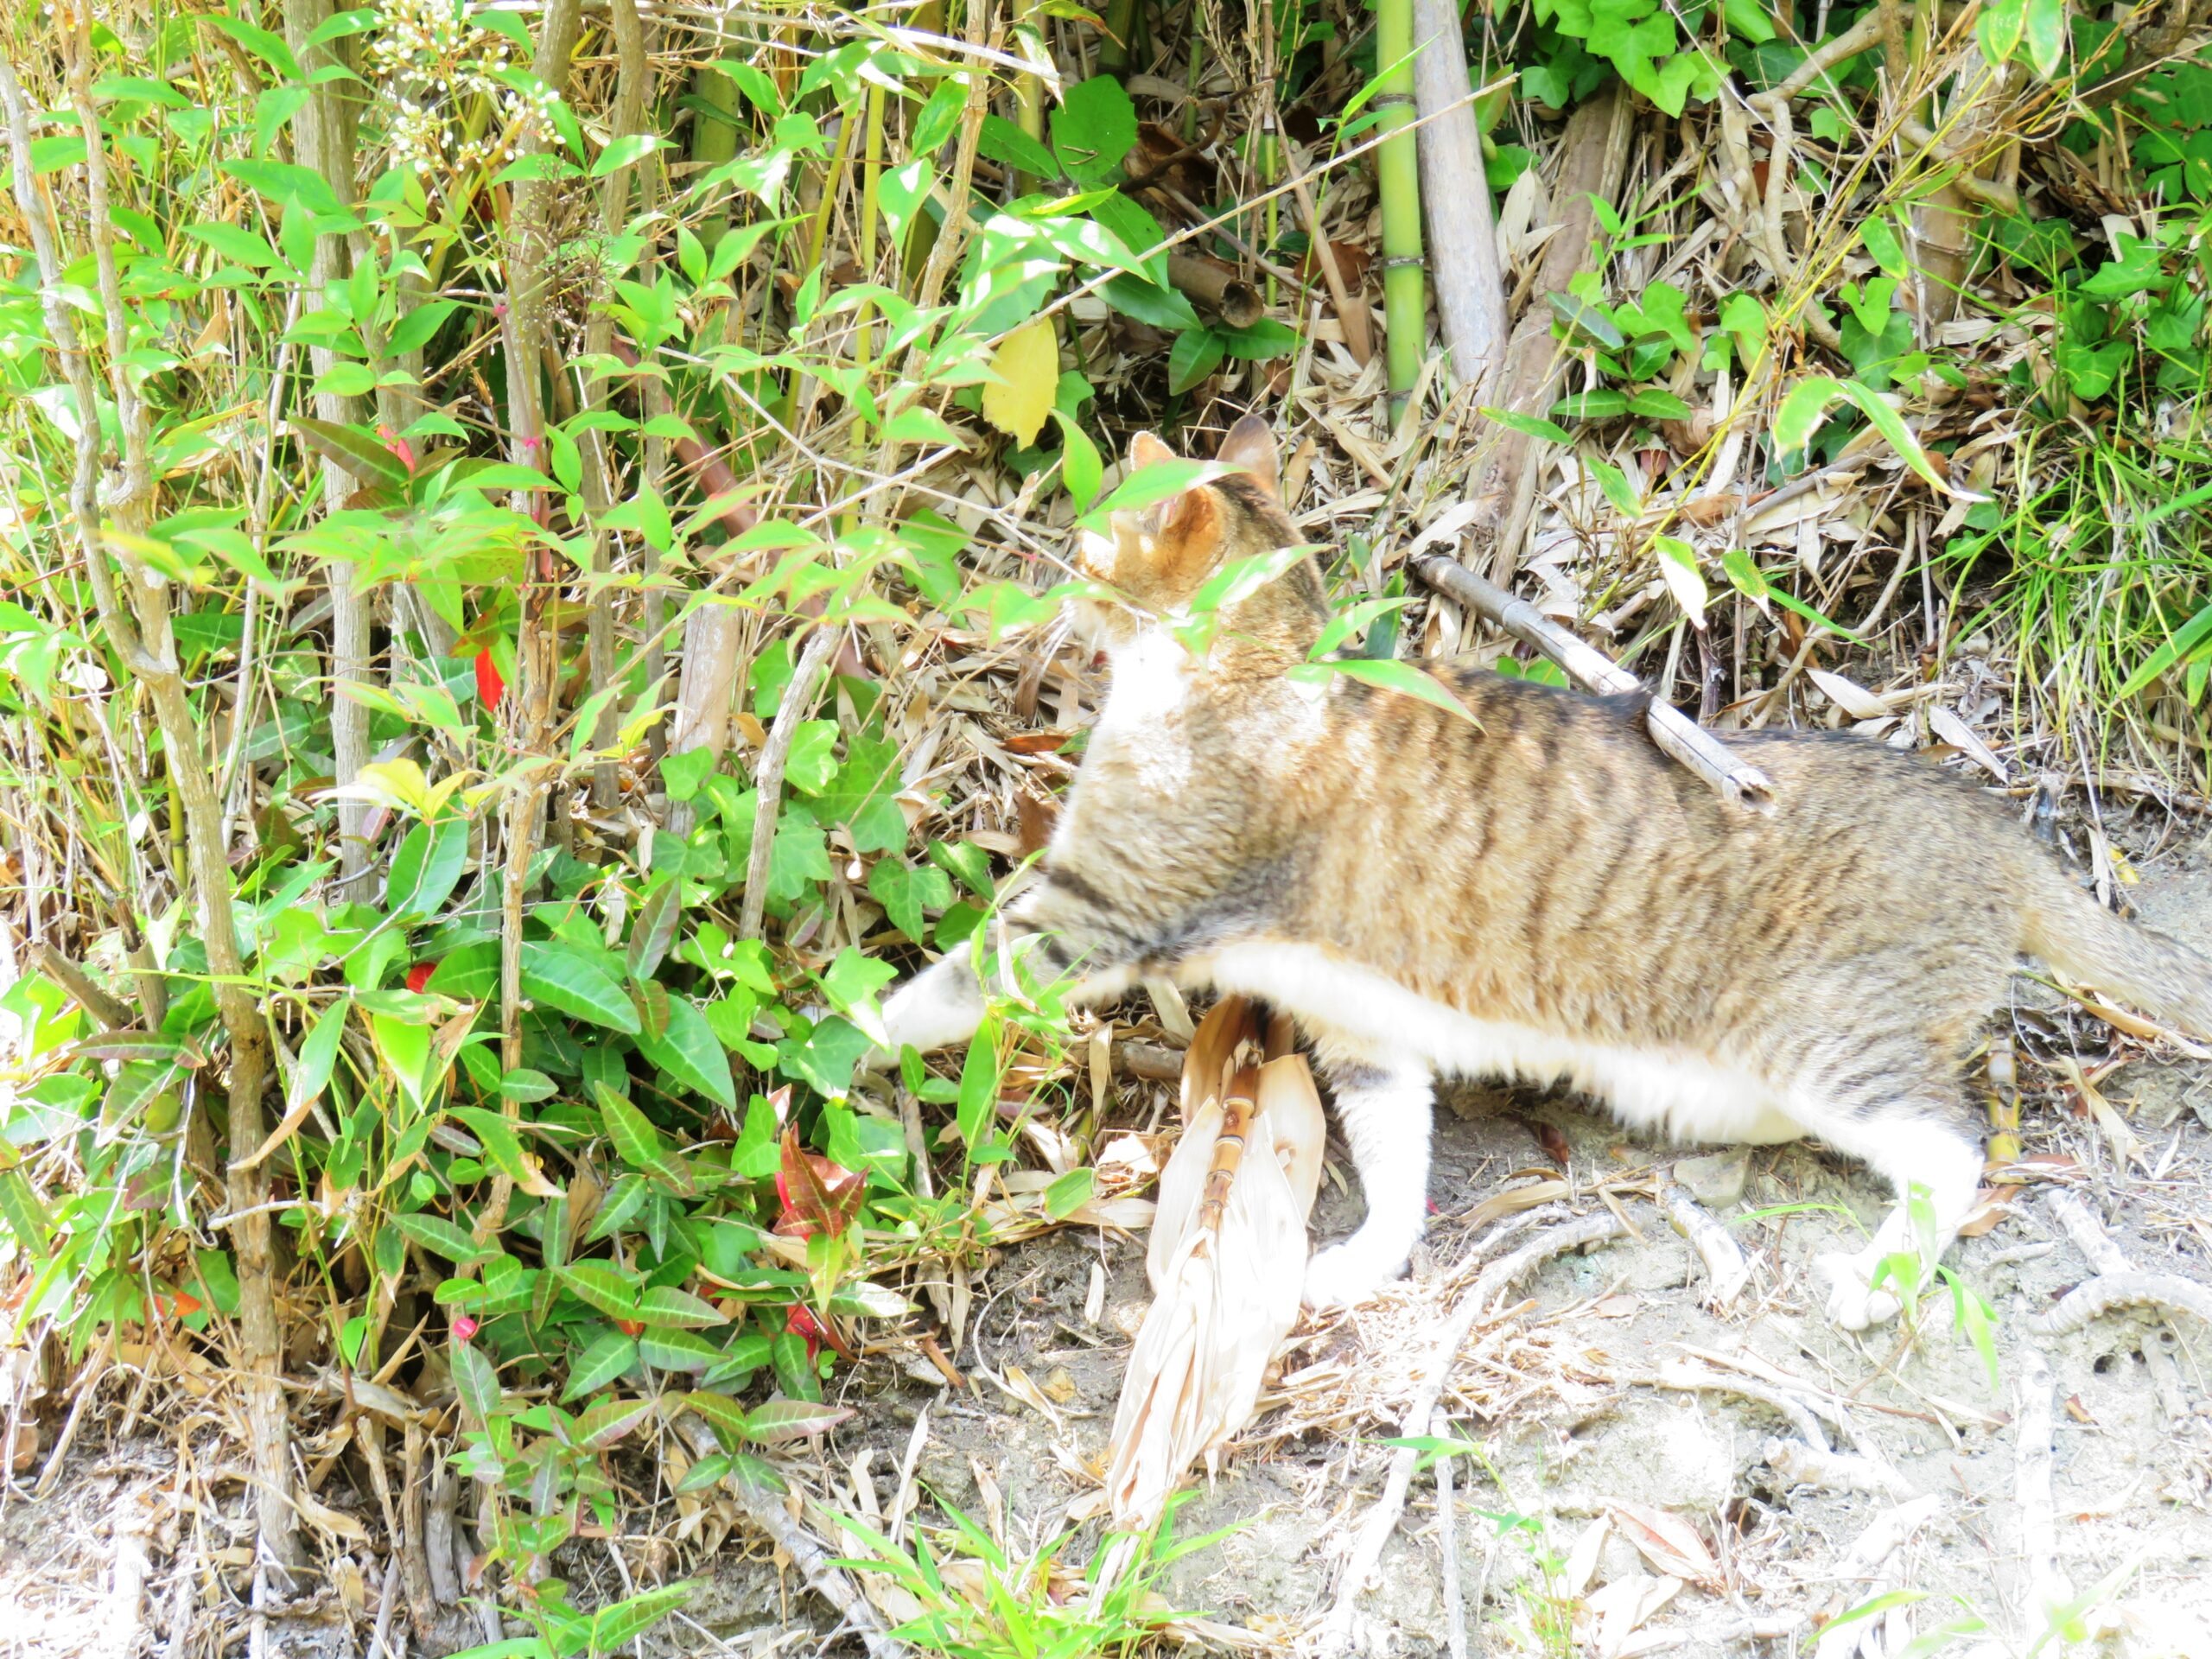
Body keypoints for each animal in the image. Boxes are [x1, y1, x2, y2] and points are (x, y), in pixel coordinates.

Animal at [875, 417, 2212, 1336]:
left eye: (1088, 542)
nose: (1045, 581)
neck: (1252, 660)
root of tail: (1985, 818)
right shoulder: (1365, 1032)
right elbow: (1397, 1162)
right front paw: (1361, 1261)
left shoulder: (1104, 897)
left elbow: (959, 975)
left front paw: (857, 1030)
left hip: (1831, 1050)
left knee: (1951, 1148)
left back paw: (1878, 1283)